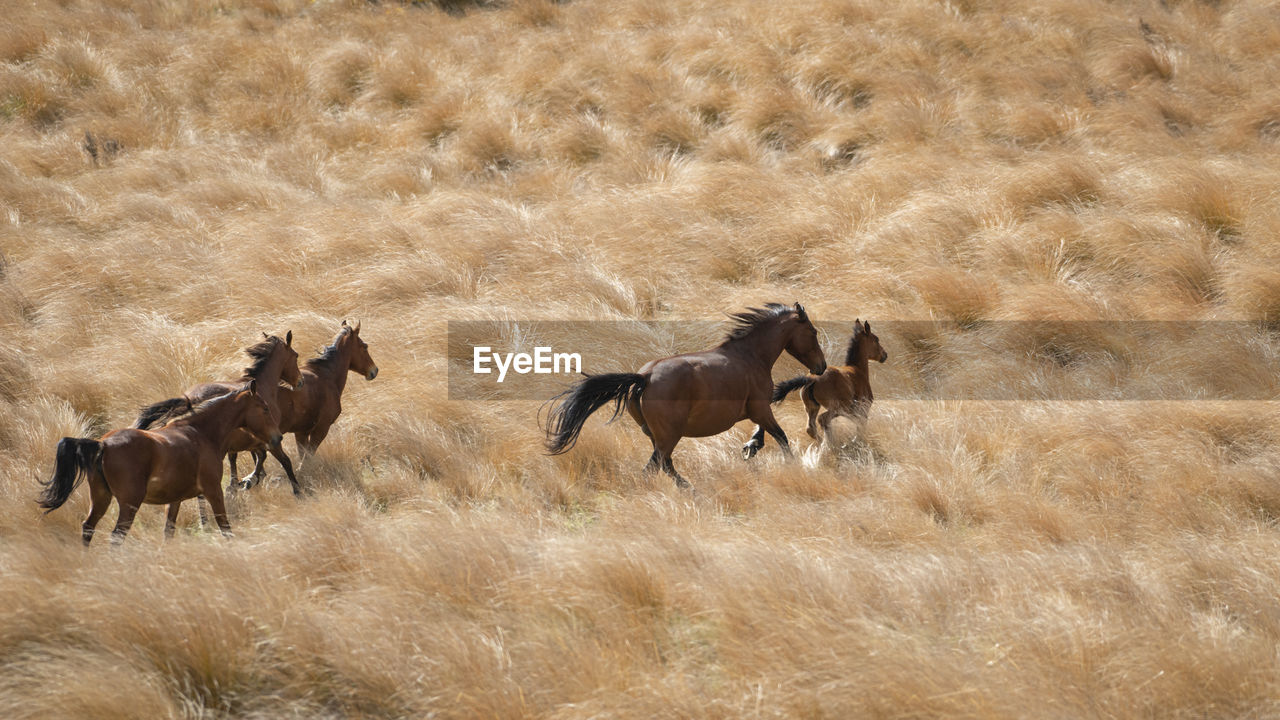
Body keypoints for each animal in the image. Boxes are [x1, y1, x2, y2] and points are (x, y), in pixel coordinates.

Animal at [36, 379, 282, 540]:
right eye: (264, 408)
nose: (277, 437)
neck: (201, 433)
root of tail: (102, 445)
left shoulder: (176, 499)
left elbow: (168, 531)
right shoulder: (213, 490)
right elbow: (225, 527)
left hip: (101, 498)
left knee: (88, 527)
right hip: (129, 503)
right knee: (117, 536)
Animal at [133, 330, 303, 491]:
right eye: (296, 355)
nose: (300, 381)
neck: (261, 386)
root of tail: (188, 398)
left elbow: (250, 459)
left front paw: (244, 482)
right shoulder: (268, 438)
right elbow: (283, 461)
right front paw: (297, 491)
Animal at [239, 317, 378, 486]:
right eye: (364, 347)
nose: (374, 370)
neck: (326, 375)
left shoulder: (301, 432)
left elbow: (303, 457)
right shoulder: (321, 428)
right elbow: (308, 457)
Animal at [542, 299, 829, 484]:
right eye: (813, 331)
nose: (822, 366)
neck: (750, 355)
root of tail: (644, 377)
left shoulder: (757, 410)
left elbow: (763, 433)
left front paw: (751, 447)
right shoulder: (760, 407)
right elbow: (781, 437)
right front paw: (789, 465)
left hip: (657, 435)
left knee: (664, 465)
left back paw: (688, 488)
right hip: (670, 435)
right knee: (654, 467)